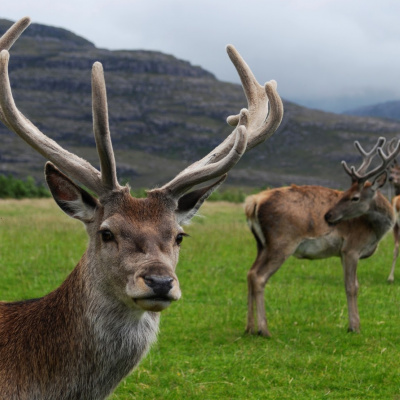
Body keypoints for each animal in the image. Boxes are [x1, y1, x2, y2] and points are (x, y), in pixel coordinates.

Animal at [245, 138, 398, 338]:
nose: (328, 216)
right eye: (344, 193)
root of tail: (253, 202)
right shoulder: (352, 248)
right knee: (259, 276)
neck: (374, 231)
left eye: (354, 197)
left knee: (250, 273)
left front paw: (352, 325)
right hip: (282, 242)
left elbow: (349, 284)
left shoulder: (342, 253)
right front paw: (355, 327)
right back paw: (264, 329)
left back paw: (249, 328)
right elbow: (352, 286)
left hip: (261, 244)